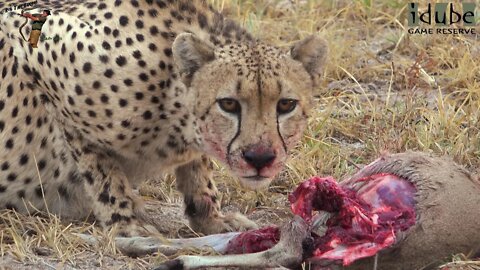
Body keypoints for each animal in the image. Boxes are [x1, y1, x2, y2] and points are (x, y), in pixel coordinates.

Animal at [0, 0, 326, 235]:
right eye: (229, 104)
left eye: (286, 104)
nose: (260, 158)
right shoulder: (38, 51)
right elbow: (100, 167)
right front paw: (125, 221)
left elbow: (198, 169)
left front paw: (211, 216)